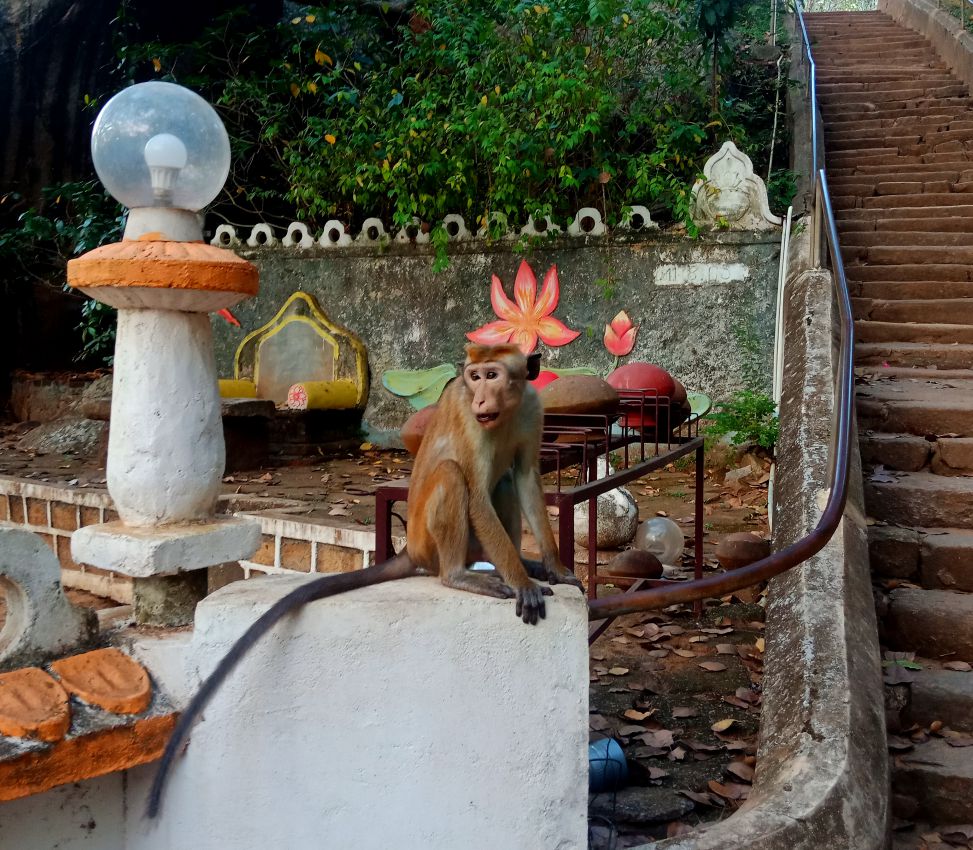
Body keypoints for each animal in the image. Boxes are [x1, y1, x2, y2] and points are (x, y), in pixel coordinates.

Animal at [146, 342, 584, 820]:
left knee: (503, 480)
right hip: (430, 540)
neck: (503, 412)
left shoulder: (532, 409)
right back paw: (464, 575)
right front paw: (523, 583)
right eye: (474, 376)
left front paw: (554, 567)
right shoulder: (470, 422)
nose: (481, 397)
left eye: (493, 374)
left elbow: (525, 479)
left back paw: (513, 562)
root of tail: (413, 549)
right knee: (453, 476)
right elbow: (477, 496)